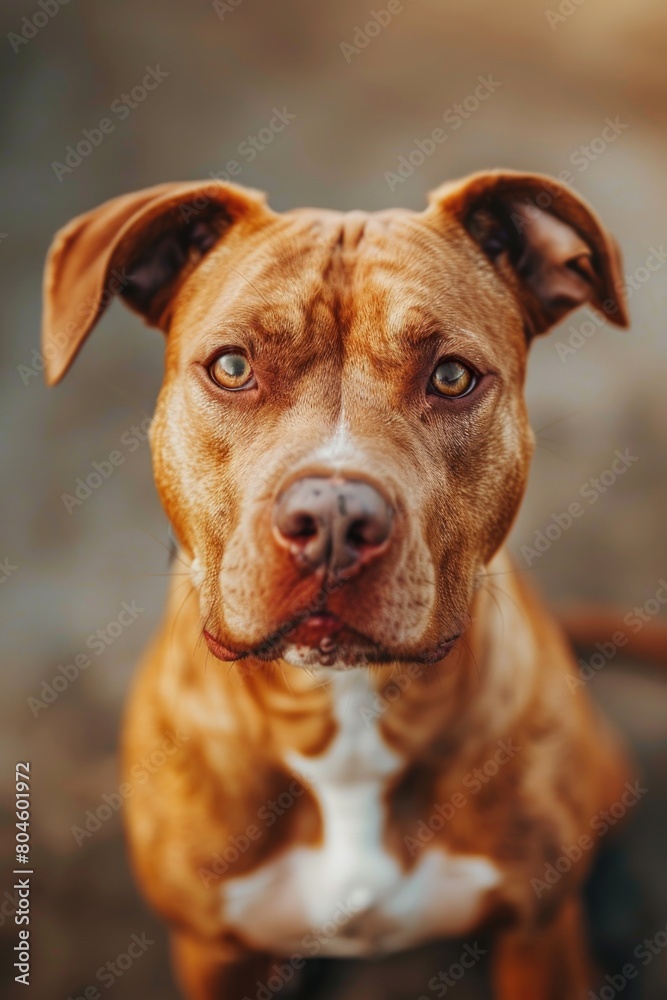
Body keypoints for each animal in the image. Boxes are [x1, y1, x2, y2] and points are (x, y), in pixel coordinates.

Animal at [44, 174, 636, 1000]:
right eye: (232, 367)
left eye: (451, 376)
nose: (330, 519)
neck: (346, 719)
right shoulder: (212, 951)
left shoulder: (537, 933)